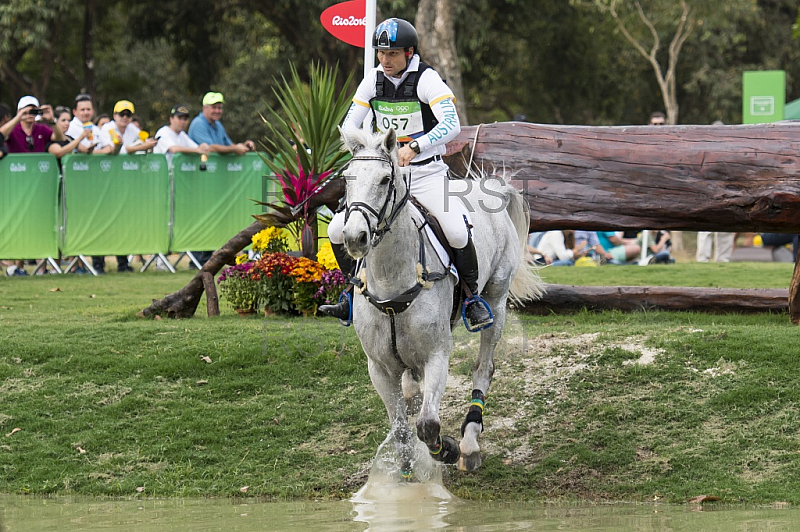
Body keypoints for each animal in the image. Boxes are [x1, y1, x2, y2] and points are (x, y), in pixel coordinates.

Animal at [340, 129, 544, 478]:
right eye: (346, 179)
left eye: (385, 179)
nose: (355, 237)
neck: (393, 279)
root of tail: (493, 189)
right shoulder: (379, 368)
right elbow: (400, 428)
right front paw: (406, 475)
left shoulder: (436, 354)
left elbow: (426, 425)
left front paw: (447, 449)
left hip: (496, 300)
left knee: (483, 368)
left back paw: (470, 444)